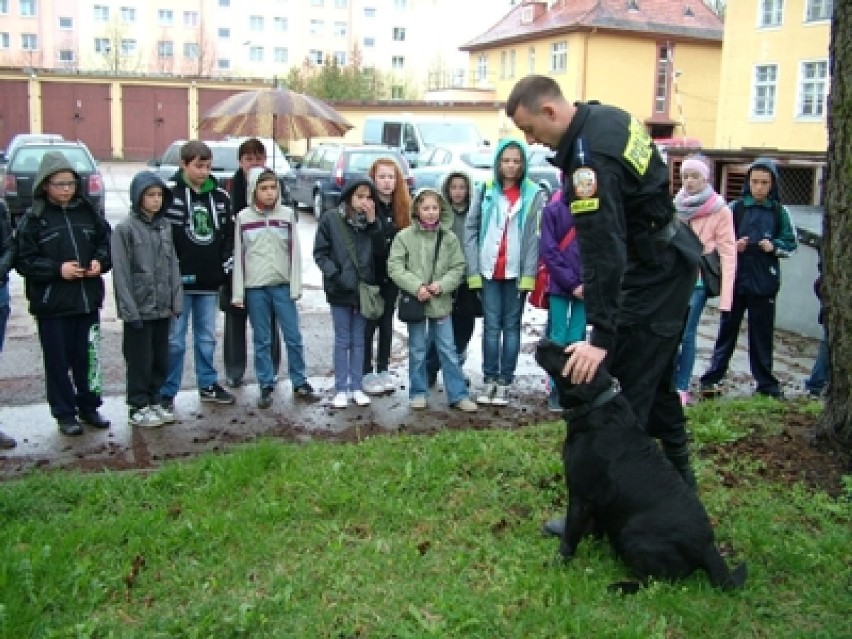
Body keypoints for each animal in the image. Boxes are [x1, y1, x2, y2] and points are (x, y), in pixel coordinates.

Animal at [540, 338, 744, 592]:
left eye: (566, 356)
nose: (541, 342)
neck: (597, 408)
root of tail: (708, 549)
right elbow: (595, 528)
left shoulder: (580, 496)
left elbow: (569, 537)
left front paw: (558, 561)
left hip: (633, 534)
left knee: (656, 582)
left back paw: (620, 586)